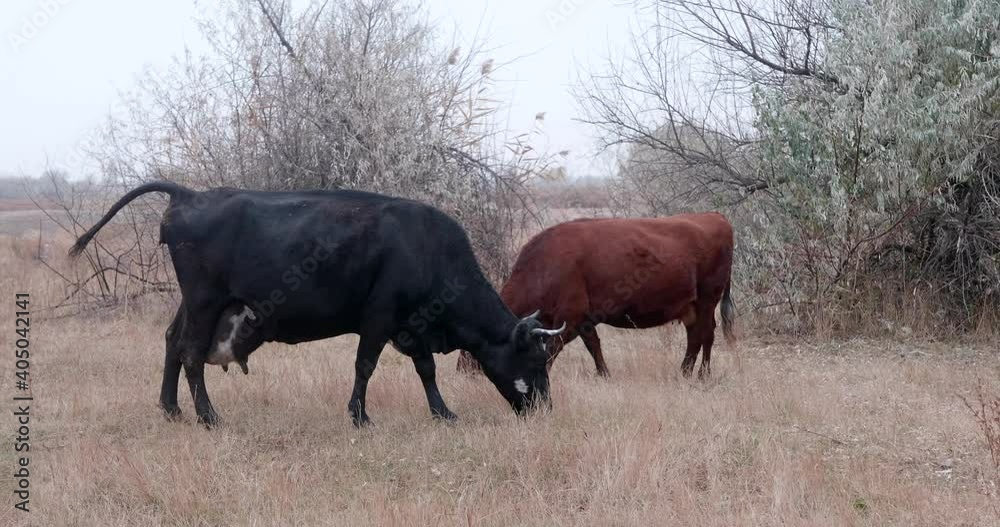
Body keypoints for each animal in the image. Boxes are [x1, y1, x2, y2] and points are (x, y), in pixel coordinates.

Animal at [72, 184, 564, 426]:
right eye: (536, 361)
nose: (544, 410)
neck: (427, 247)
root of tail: (191, 193)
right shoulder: (380, 318)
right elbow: (365, 366)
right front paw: (359, 416)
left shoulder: (411, 325)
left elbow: (426, 369)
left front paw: (443, 413)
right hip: (205, 301)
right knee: (190, 353)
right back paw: (208, 417)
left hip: (194, 304)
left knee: (173, 343)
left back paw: (171, 409)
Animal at [458, 212, 736, 378]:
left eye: (474, 346)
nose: (463, 371)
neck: (546, 264)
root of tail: (715, 216)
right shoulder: (583, 320)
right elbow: (594, 347)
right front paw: (605, 375)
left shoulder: (569, 318)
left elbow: (552, 351)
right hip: (691, 306)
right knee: (696, 336)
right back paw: (685, 371)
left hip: (707, 300)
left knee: (705, 335)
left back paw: (701, 374)